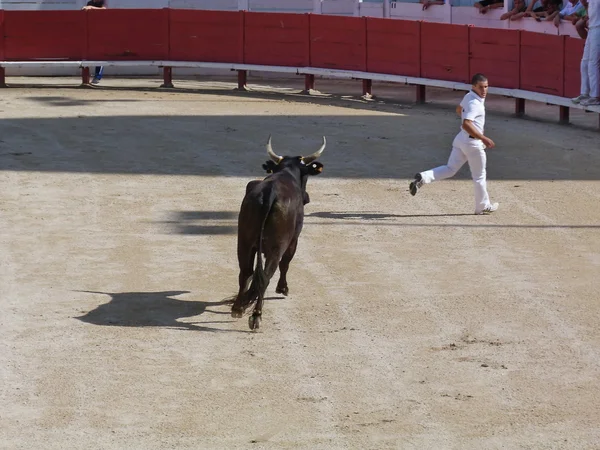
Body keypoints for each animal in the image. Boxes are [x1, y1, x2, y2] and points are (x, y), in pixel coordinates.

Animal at [232, 135, 326, 328]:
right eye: (306, 175)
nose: (307, 198)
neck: (287, 172)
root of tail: (270, 193)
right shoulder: (294, 240)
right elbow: (286, 263)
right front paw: (283, 288)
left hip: (244, 242)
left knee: (245, 272)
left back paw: (238, 308)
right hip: (276, 246)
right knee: (266, 276)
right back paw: (256, 315)